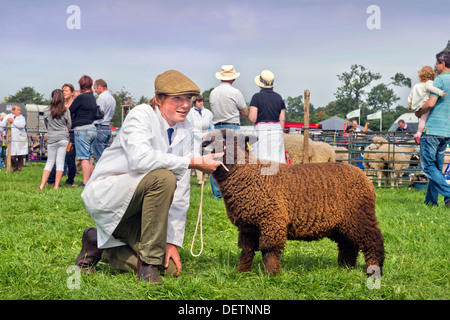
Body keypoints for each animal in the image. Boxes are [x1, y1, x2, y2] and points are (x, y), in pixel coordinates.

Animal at [202, 129, 384, 276]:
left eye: (229, 140)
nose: (203, 144)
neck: (249, 175)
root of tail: (363, 176)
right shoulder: (247, 225)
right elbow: (246, 250)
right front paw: (242, 273)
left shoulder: (272, 220)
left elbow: (269, 250)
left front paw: (271, 276)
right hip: (343, 222)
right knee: (348, 244)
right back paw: (345, 268)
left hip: (360, 215)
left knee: (374, 240)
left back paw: (374, 271)